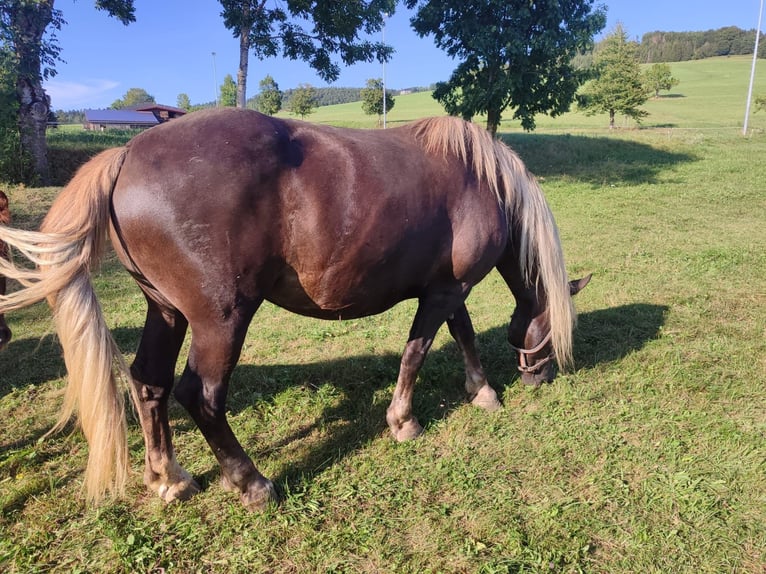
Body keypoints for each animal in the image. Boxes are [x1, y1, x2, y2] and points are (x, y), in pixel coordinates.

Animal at [0, 110, 592, 510]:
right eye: (551, 328)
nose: (540, 377)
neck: (478, 178)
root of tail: (125, 155)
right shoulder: (449, 290)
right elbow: (418, 352)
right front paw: (404, 421)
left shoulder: (446, 289)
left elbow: (461, 335)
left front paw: (481, 390)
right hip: (222, 318)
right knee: (201, 395)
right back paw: (253, 484)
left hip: (165, 311)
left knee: (150, 382)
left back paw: (169, 478)